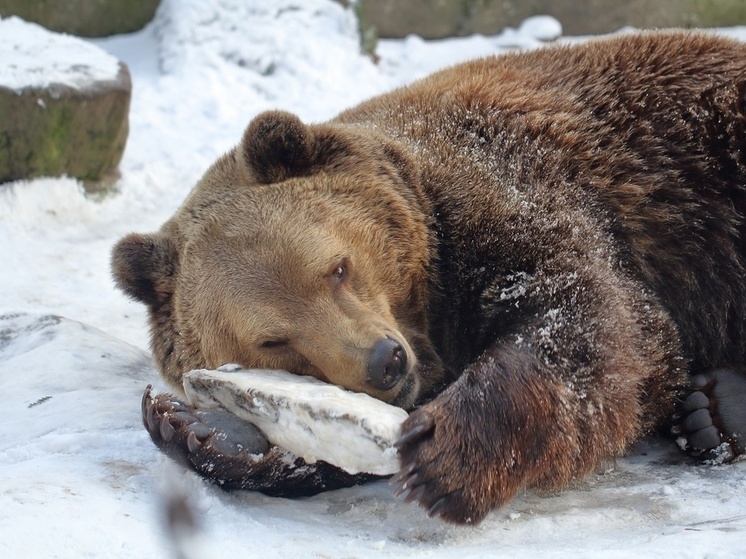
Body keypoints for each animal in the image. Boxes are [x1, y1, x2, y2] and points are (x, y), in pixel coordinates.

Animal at [113, 30, 744, 528]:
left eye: (337, 267)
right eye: (274, 339)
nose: (383, 361)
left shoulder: (517, 190)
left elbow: (596, 322)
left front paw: (447, 452)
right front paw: (204, 429)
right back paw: (710, 413)